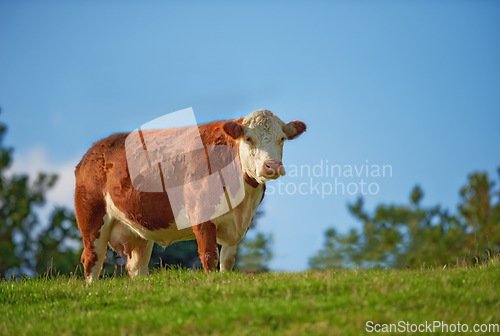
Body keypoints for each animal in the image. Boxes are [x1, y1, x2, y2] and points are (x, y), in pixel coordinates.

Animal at [75, 109, 304, 282]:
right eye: (249, 138)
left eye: (282, 139)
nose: (272, 165)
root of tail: (94, 150)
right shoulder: (201, 214)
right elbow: (209, 256)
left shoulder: (239, 224)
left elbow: (227, 261)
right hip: (92, 219)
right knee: (92, 259)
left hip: (138, 230)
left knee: (136, 266)